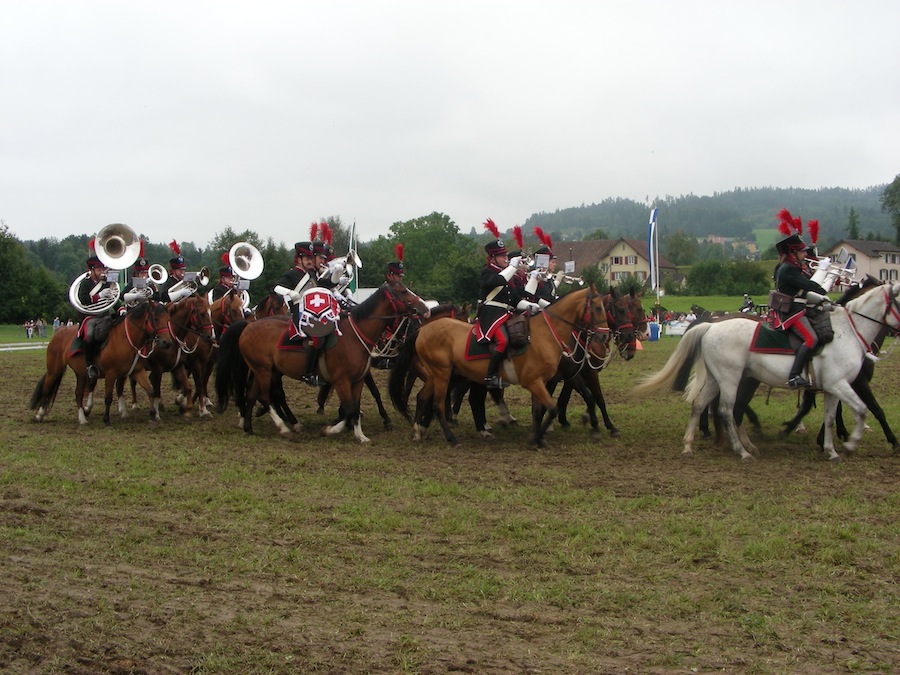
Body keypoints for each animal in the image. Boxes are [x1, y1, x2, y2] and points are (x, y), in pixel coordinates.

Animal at [30, 302, 172, 426]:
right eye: (156, 319)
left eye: (168, 319)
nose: (167, 342)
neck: (125, 338)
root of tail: (59, 333)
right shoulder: (111, 373)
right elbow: (108, 397)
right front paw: (106, 420)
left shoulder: (137, 371)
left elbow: (151, 391)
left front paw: (153, 414)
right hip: (54, 370)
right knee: (47, 388)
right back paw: (39, 415)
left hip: (81, 374)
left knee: (78, 394)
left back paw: (82, 419)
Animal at [216, 280, 430, 444]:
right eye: (402, 291)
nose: (425, 309)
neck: (354, 335)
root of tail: (248, 326)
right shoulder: (341, 380)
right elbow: (350, 409)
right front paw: (330, 430)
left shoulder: (358, 380)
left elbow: (355, 407)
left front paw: (360, 435)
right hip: (264, 371)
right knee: (265, 396)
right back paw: (283, 427)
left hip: (263, 370)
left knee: (254, 395)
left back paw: (249, 427)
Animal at [394, 286, 612, 448]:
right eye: (597, 308)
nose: (603, 336)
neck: (544, 334)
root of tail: (422, 330)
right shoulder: (535, 382)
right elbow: (551, 408)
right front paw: (536, 438)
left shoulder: (545, 381)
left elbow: (542, 410)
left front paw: (540, 437)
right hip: (442, 375)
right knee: (438, 404)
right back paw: (451, 438)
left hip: (437, 374)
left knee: (423, 397)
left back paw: (419, 431)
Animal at [632, 282, 900, 462]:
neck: (848, 331)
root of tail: (711, 326)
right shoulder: (843, 385)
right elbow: (864, 410)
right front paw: (852, 444)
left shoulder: (833, 388)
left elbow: (831, 419)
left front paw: (831, 450)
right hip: (731, 380)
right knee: (727, 411)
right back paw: (741, 450)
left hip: (717, 379)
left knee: (700, 405)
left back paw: (690, 446)